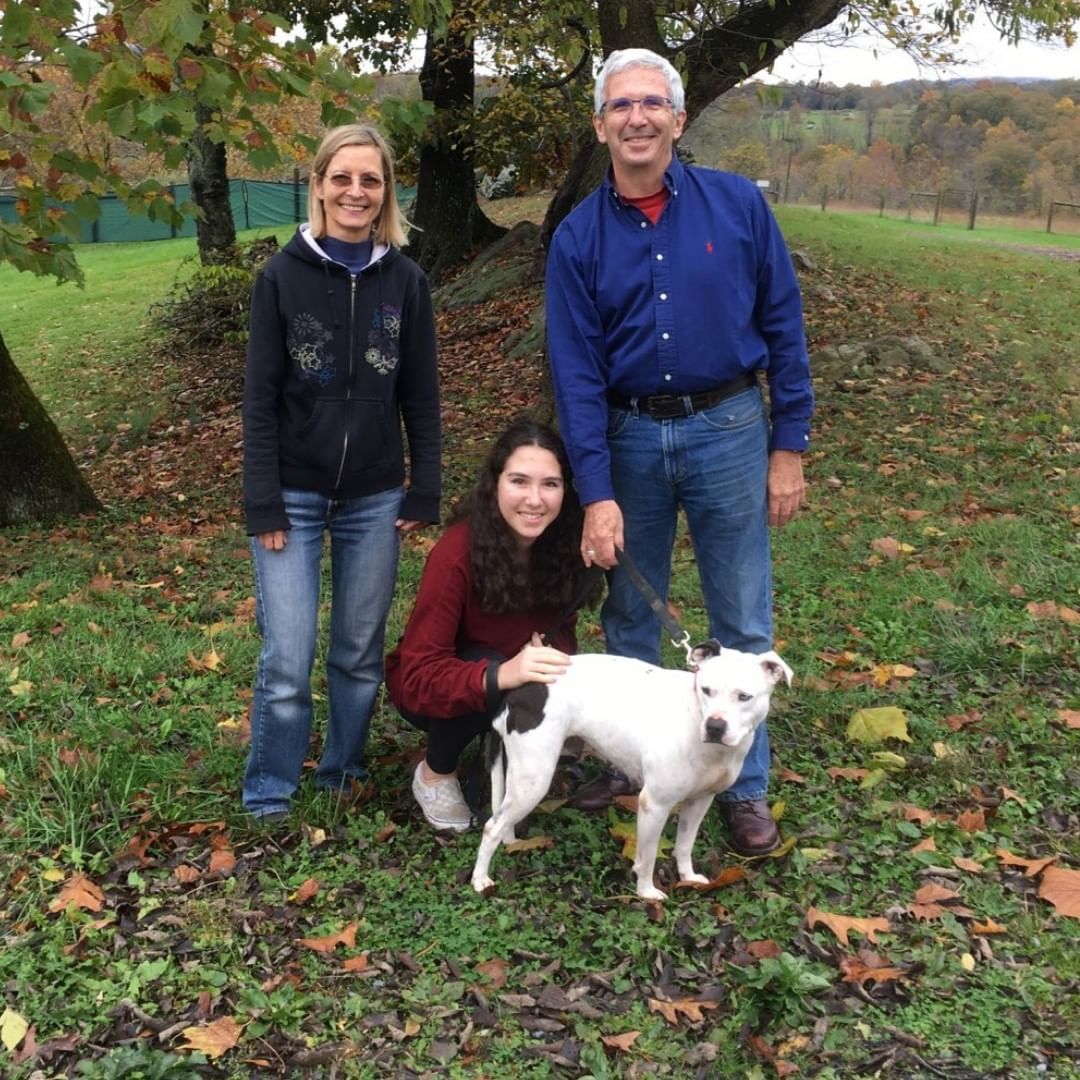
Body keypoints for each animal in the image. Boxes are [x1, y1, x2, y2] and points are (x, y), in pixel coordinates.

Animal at [468, 639, 790, 902]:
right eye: (706, 690)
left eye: (744, 696)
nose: (714, 726)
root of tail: (520, 688)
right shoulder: (654, 805)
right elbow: (647, 857)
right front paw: (646, 892)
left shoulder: (700, 801)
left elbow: (684, 844)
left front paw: (687, 877)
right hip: (535, 780)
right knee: (491, 826)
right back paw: (480, 879)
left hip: (523, 776)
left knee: (502, 816)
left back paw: (509, 842)